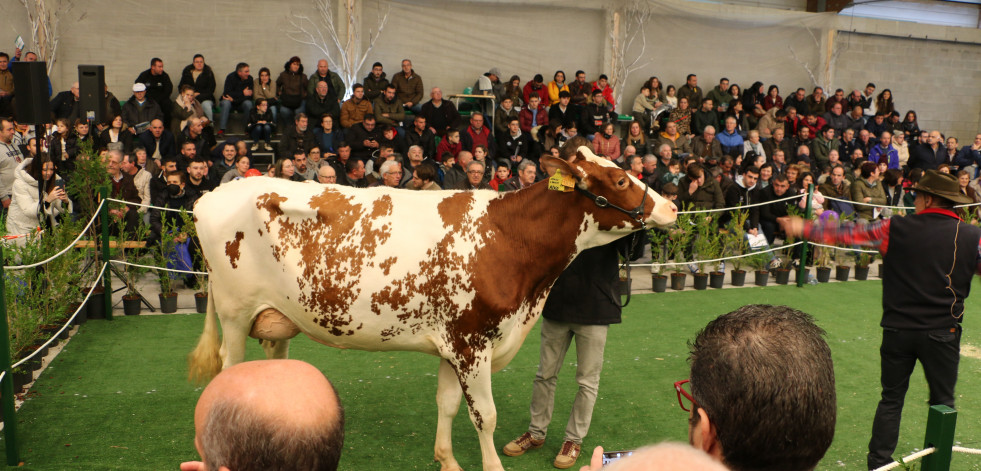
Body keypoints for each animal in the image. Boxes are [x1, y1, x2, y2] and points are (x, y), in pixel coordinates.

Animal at [188, 146, 676, 470]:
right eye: (620, 180)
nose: (672, 207)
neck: (507, 238)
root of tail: (211, 195)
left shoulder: (451, 342)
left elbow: (447, 404)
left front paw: (447, 460)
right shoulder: (472, 341)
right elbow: (485, 416)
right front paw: (491, 466)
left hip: (278, 319)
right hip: (234, 314)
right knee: (231, 371)